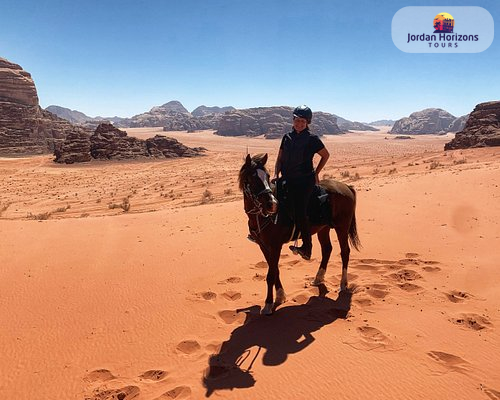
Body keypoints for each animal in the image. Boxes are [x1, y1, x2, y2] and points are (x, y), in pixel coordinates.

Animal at [238, 153, 360, 316]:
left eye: (267, 176)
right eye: (252, 179)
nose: (272, 204)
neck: (261, 216)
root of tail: (347, 187)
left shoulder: (275, 246)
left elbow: (270, 274)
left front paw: (268, 305)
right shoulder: (264, 246)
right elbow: (274, 269)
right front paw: (280, 295)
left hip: (342, 228)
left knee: (345, 252)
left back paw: (343, 284)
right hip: (323, 229)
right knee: (327, 249)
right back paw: (318, 278)